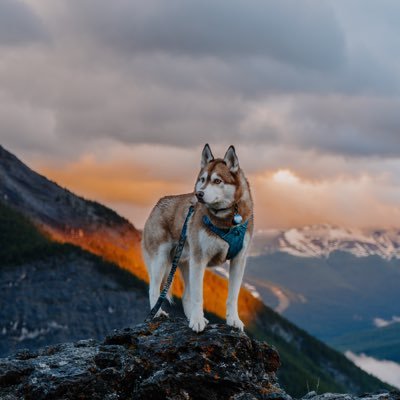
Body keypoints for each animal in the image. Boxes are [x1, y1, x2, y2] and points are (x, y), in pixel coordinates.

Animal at [141, 145, 253, 332]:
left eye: (217, 181)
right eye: (202, 179)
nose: (199, 194)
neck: (226, 220)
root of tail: (157, 204)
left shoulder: (238, 260)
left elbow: (232, 296)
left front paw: (233, 320)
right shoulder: (200, 259)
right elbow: (198, 296)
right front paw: (197, 320)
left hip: (186, 262)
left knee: (186, 295)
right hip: (161, 260)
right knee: (154, 288)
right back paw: (158, 314)